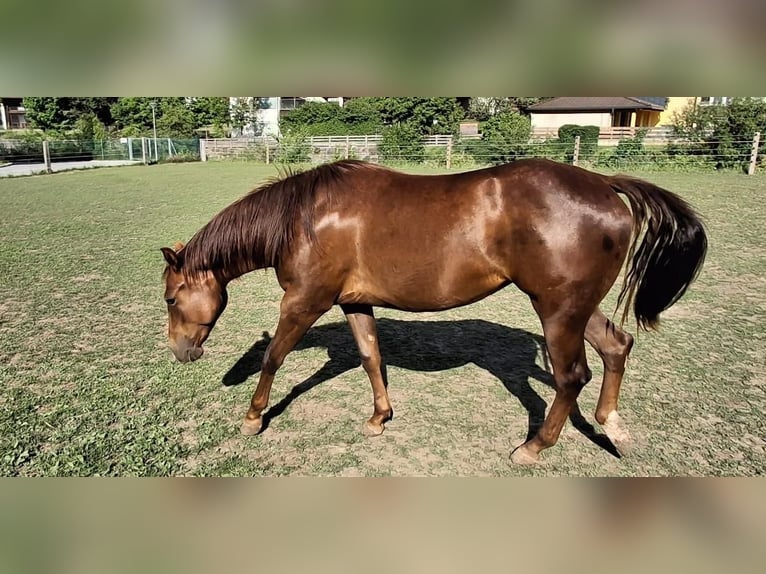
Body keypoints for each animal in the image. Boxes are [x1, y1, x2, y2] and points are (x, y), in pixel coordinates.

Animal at [160, 158, 707, 464]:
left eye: (170, 298)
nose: (181, 352)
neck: (304, 218)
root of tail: (603, 183)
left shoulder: (304, 302)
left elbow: (275, 357)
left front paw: (253, 417)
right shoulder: (354, 301)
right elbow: (371, 358)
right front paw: (379, 418)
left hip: (557, 310)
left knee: (572, 376)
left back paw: (533, 448)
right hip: (573, 307)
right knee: (617, 347)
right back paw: (612, 426)